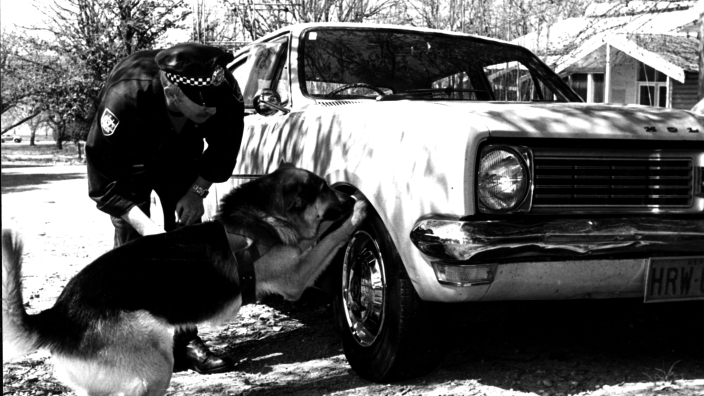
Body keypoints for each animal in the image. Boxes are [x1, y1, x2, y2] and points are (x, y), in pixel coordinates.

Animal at [2, 166, 368, 396]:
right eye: (324, 188)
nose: (347, 193)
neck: (261, 220)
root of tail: (56, 316)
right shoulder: (295, 275)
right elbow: (331, 235)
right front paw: (361, 209)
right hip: (153, 367)